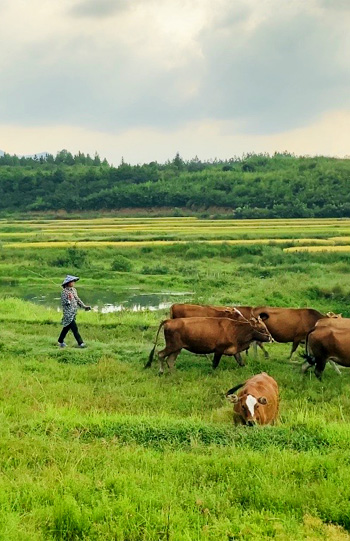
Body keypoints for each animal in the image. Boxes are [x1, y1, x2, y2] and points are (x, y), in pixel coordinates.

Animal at [144, 316, 272, 376]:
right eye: (262, 328)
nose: (271, 338)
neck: (236, 329)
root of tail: (169, 321)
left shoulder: (235, 350)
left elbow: (241, 363)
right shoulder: (218, 350)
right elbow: (214, 364)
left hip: (177, 348)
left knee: (170, 360)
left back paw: (174, 374)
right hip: (172, 346)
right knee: (160, 354)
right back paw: (161, 372)